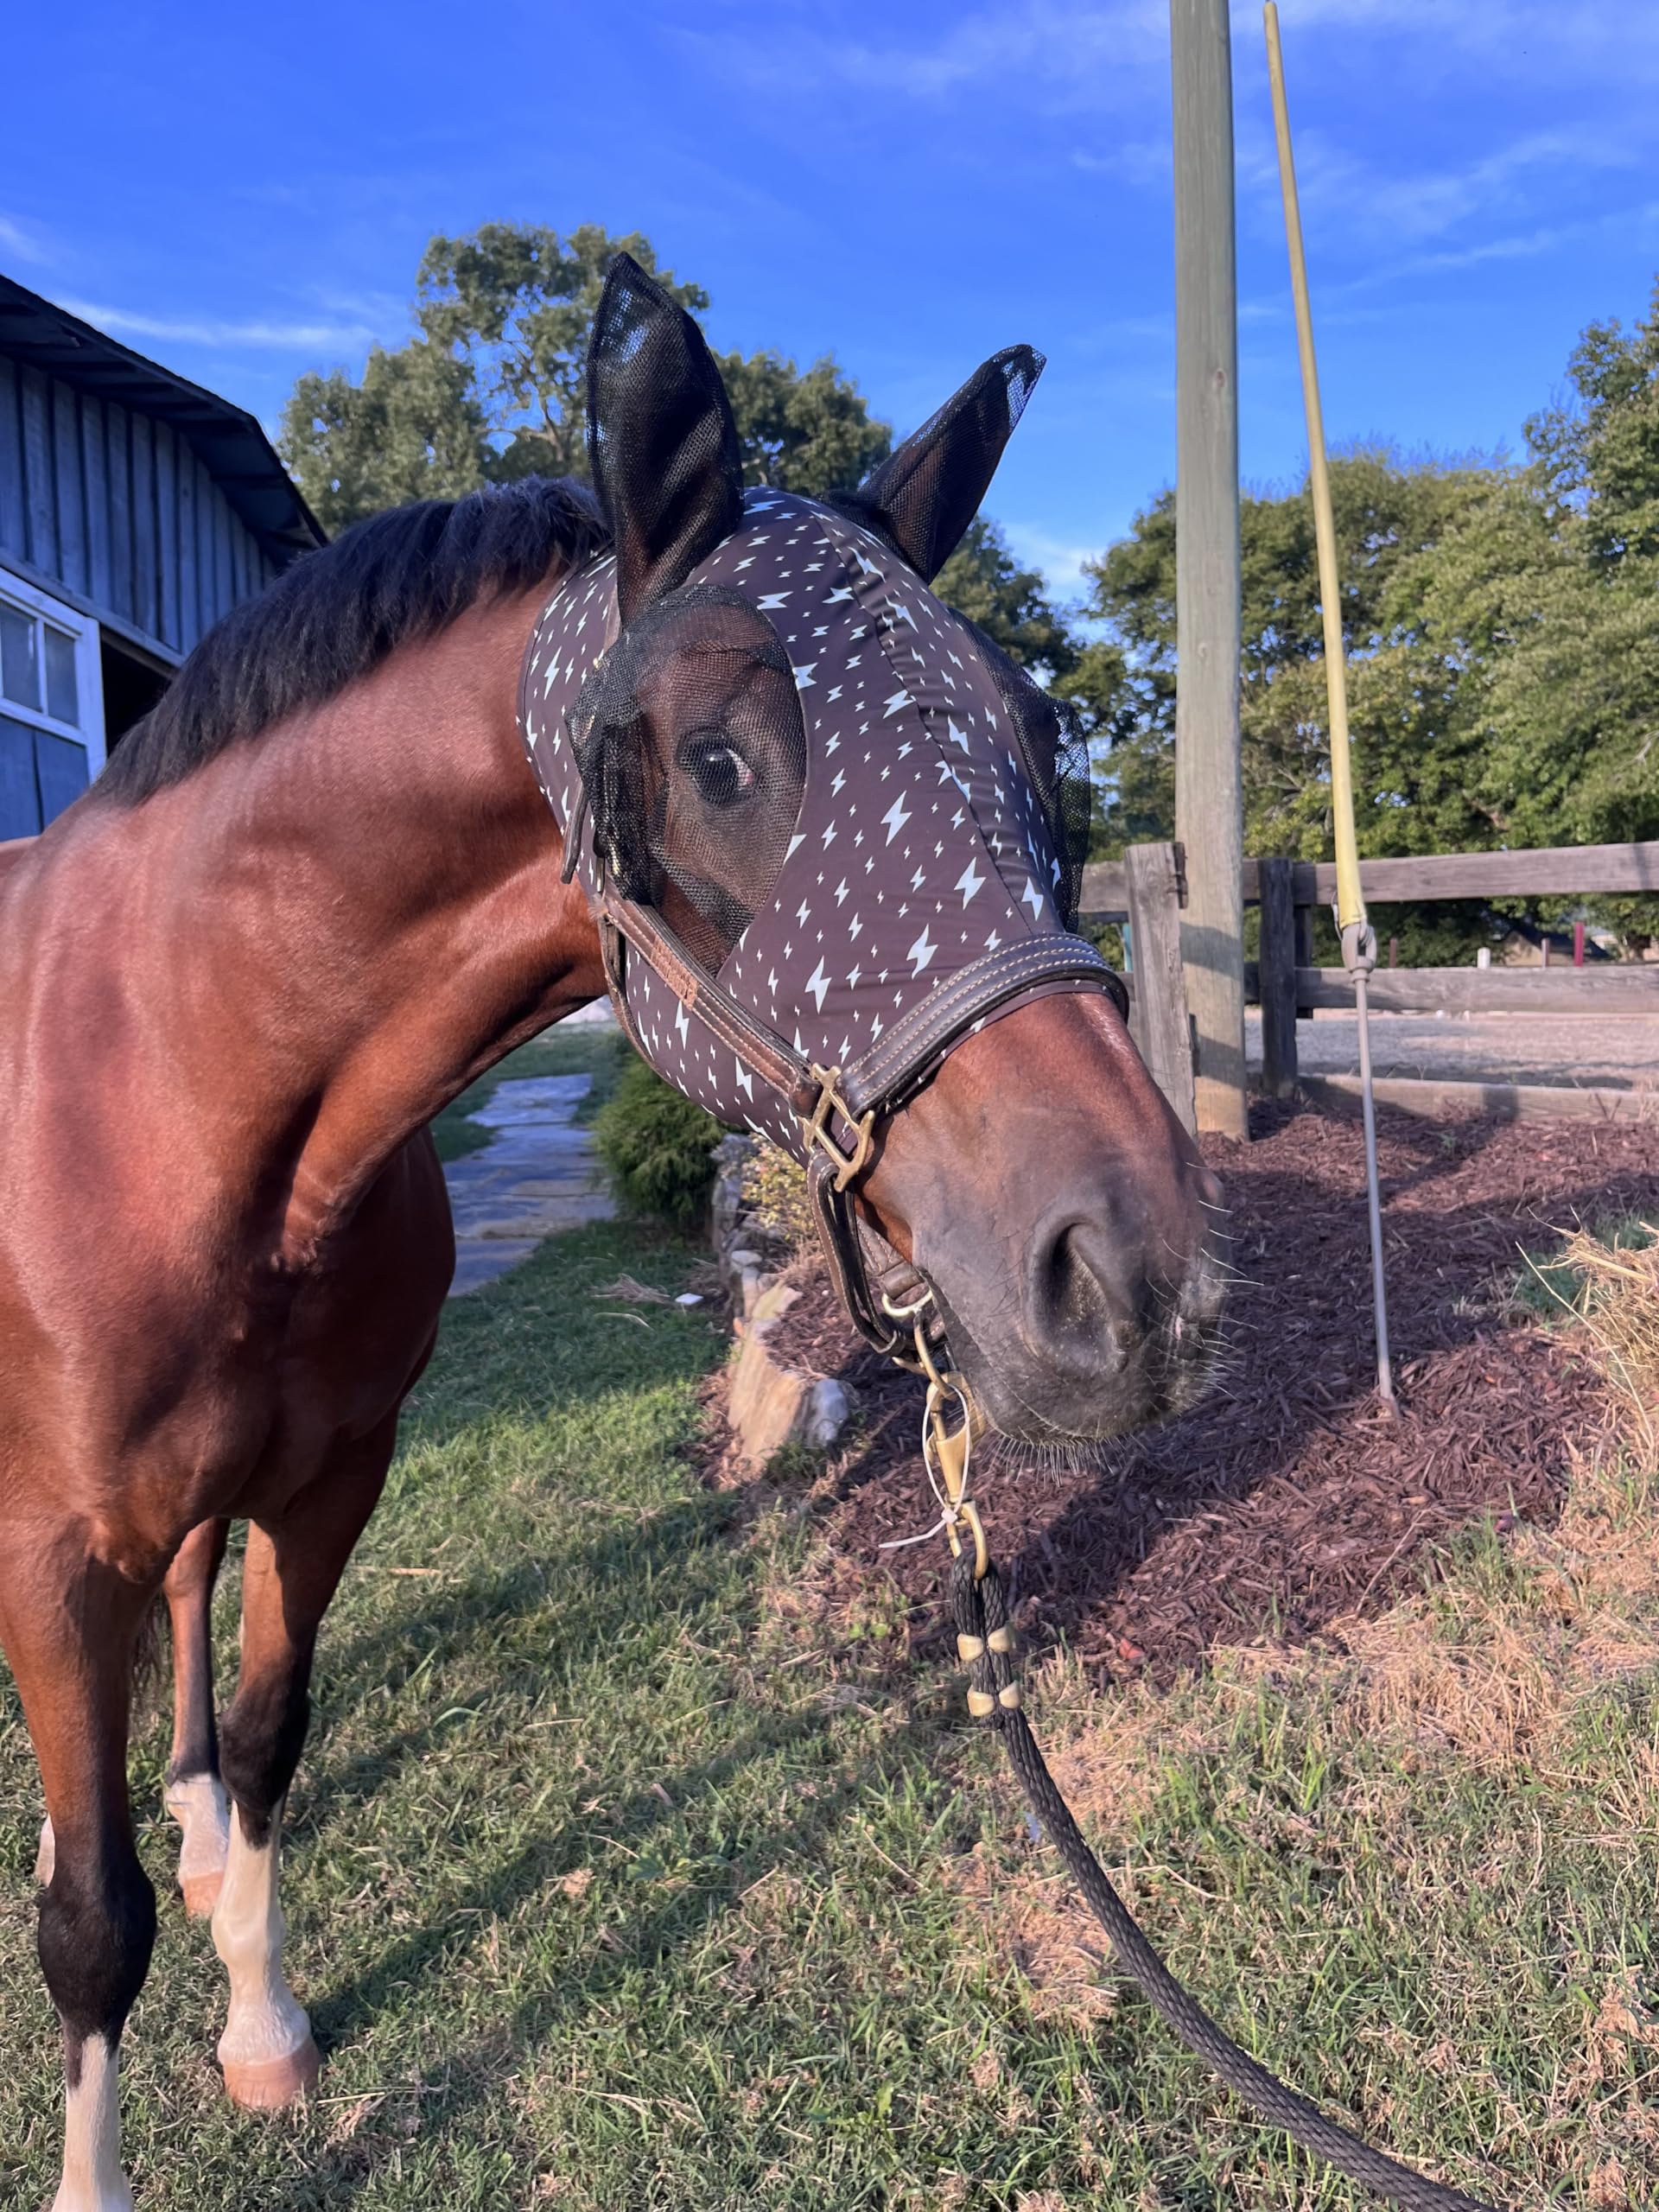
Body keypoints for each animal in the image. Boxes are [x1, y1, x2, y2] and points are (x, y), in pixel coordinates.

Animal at [0, 258, 1225, 2211]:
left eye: (1036, 738)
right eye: (717, 759)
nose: (1139, 1277)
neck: (178, 1082)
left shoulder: (328, 1480)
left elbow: (267, 1747)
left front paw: (261, 2021)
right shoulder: (51, 1550)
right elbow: (87, 1920)